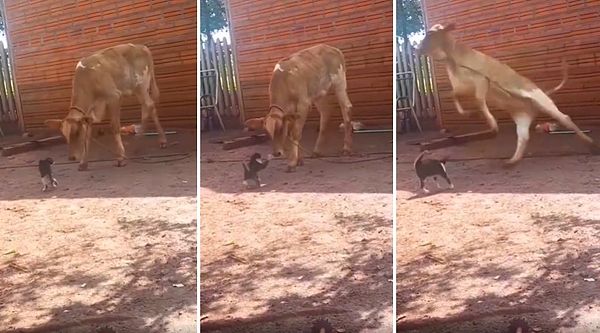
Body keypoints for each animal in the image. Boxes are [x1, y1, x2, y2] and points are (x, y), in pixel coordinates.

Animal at [44, 42, 168, 170]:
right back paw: (155, 140)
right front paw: (83, 162)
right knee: (148, 107)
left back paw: (140, 143)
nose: (72, 158)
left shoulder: (114, 96)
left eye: (77, 132)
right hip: (140, 88)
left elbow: (114, 126)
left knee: (149, 105)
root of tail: (142, 47)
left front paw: (120, 158)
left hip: (141, 85)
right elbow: (88, 135)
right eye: (65, 135)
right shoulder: (90, 112)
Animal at [246, 43, 354, 171]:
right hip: (318, 93)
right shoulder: (290, 112)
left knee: (346, 108)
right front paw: (299, 159)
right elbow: (293, 132)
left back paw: (346, 148)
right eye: (268, 133)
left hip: (339, 82)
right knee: (326, 112)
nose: (277, 153)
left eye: (280, 128)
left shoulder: (303, 104)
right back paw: (317, 150)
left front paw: (292, 162)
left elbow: (296, 132)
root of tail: (331, 47)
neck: (284, 81)